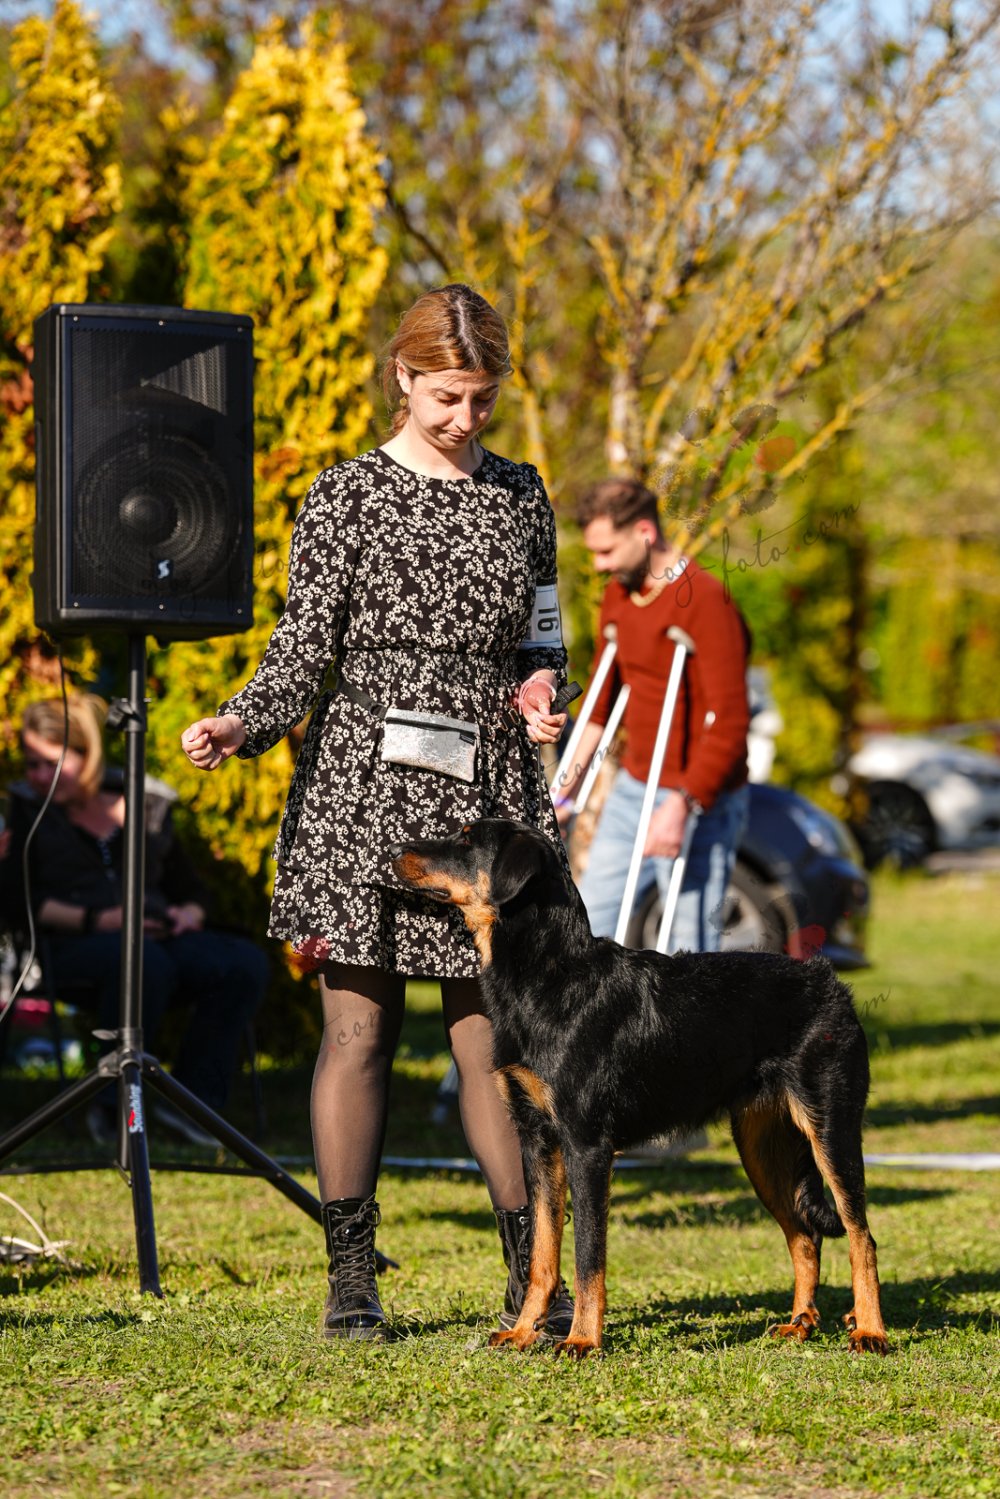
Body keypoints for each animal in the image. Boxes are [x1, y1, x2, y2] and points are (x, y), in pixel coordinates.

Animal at [392, 818, 888, 1360]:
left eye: (465, 839)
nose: (395, 850)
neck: (550, 977)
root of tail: (830, 982)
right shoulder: (537, 1142)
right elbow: (542, 1252)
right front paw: (524, 1333)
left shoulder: (587, 1146)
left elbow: (588, 1255)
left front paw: (582, 1340)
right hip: (762, 1147)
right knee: (803, 1234)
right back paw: (800, 1324)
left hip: (831, 1130)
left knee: (860, 1235)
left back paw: (870, 1331)